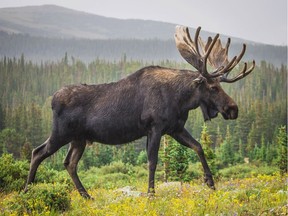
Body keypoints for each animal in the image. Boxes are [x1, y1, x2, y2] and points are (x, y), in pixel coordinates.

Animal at [24, 26, 254, 198]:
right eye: (213, 87)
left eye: (220, 85)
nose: (233, 109)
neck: (180, 100)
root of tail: (52, 100)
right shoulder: (155, 127)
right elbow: (152, 160)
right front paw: (151, 194)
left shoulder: (175, 129)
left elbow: (198, 147)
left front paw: (210, 182)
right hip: (61, 133)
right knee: (38, 152)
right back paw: (27, 190)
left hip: (79, 139)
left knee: (69, 163)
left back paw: (87, 196)